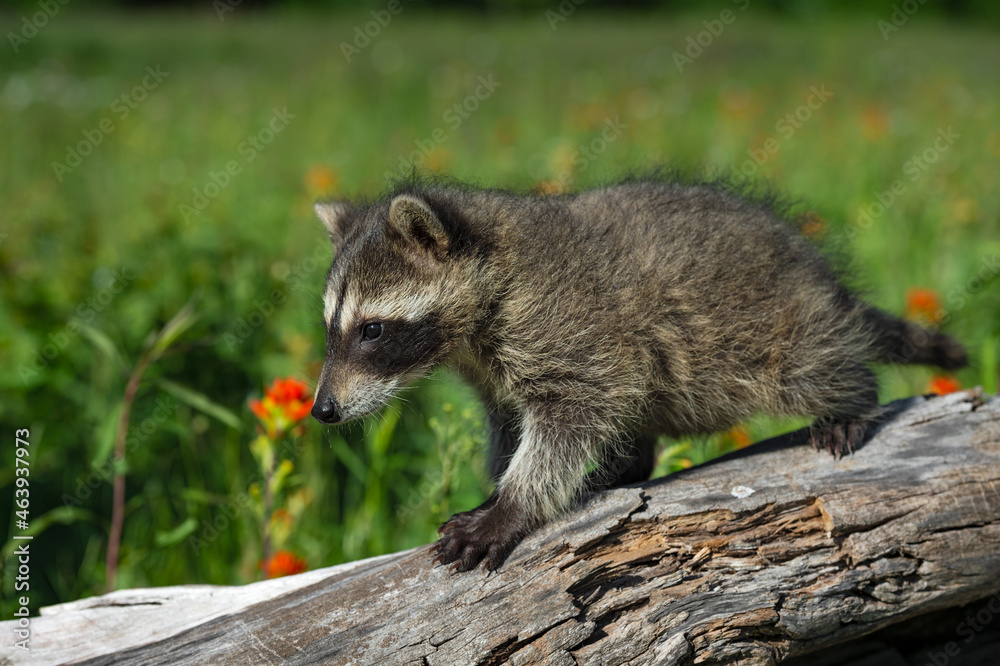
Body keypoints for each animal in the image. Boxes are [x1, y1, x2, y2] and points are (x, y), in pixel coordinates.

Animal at [310, 175, 967, 573]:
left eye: (371, 330)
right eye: (329, 328)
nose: (322, 410)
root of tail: (821, 280)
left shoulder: (569, 326)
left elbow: (572, 419)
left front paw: (513, 505)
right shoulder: (494, 369)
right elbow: (512, 426)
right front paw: (500, 486)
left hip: (775, 331)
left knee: (813, 368)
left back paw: (852, 398)